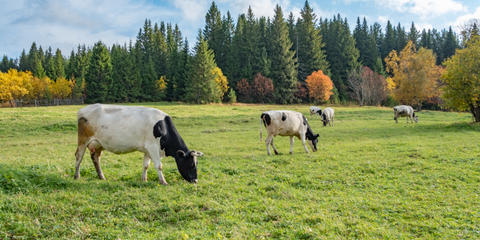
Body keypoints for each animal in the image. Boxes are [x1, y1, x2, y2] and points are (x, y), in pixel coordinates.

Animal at [74, 103, 203, 186]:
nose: (196, 181)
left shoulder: (148, 149)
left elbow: (146, 165)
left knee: (96, 158)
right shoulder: (153, 147)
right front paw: (163, 182)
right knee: (79, 156)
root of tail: (83, 109)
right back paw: (76, 176)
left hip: (98, 143)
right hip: (83, 140)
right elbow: (159, 165)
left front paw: (144, 179)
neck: (162, 127)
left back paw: (102, 177)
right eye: (191, 164)